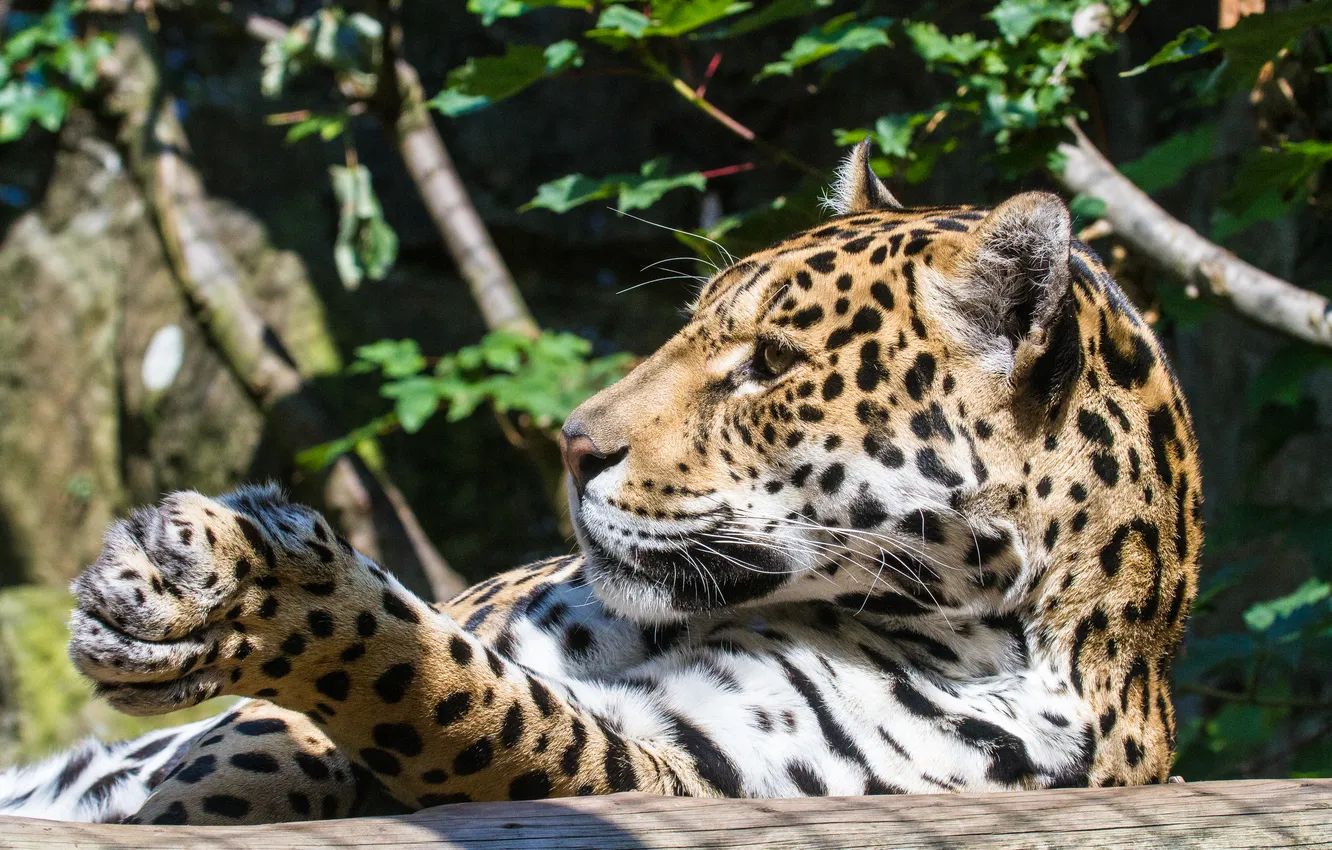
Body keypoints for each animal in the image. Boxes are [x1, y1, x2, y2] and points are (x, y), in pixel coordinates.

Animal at [0, 141, 1201, 825]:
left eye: (769, 364)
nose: (575, 446)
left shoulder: (676, 765)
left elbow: (450, 695)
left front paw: (246, 589)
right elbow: (270, 743)